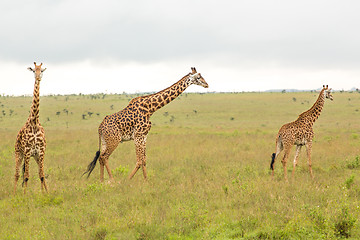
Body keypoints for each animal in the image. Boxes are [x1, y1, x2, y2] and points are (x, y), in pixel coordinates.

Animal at [14, 62, 48, 194]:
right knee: (17, 174)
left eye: (41, 70)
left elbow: (42, 175)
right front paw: (24, 196)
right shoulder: (27, 151)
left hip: (36, 157)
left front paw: (44, 194)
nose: (38, 77)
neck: (34, 122)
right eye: (34, 70)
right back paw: (14, 194)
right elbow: (26, 176)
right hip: (18, 153)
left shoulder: (41, 152)